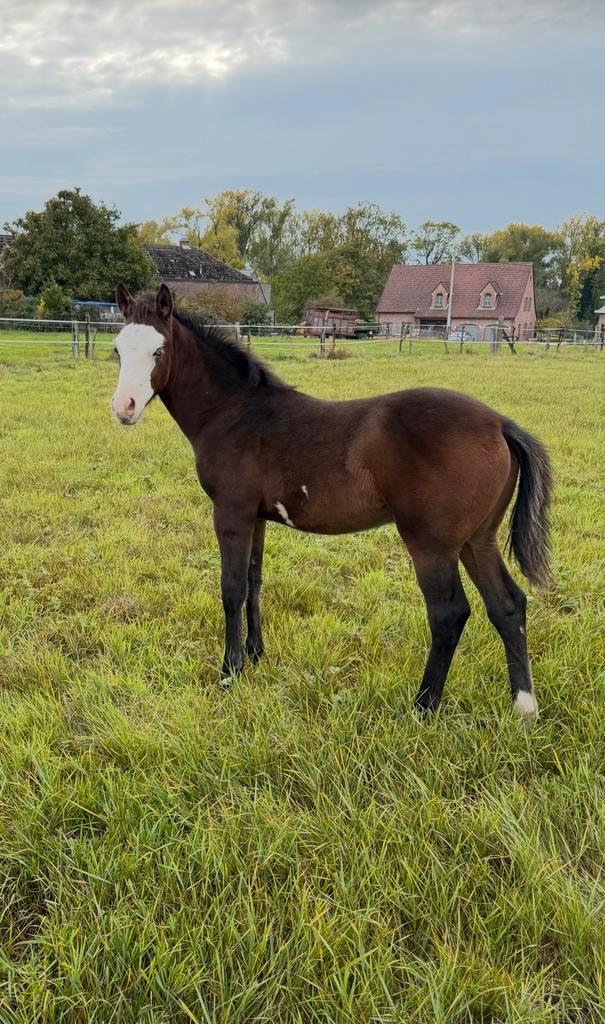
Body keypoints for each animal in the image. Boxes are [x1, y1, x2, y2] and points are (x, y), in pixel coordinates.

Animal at [111, 284, 552, 719]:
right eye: (117, 349)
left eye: (158, 350)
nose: (123, 408)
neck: (234, 412)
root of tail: (499, 424)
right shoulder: (256, 517)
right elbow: (255, 581)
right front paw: (255, 655)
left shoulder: (231, 513)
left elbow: (232, 588)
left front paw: (229, 671)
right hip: (477, 540)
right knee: (507, 605)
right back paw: (524, 706)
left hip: (432, 544)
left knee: (449, 614)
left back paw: (423, 706)